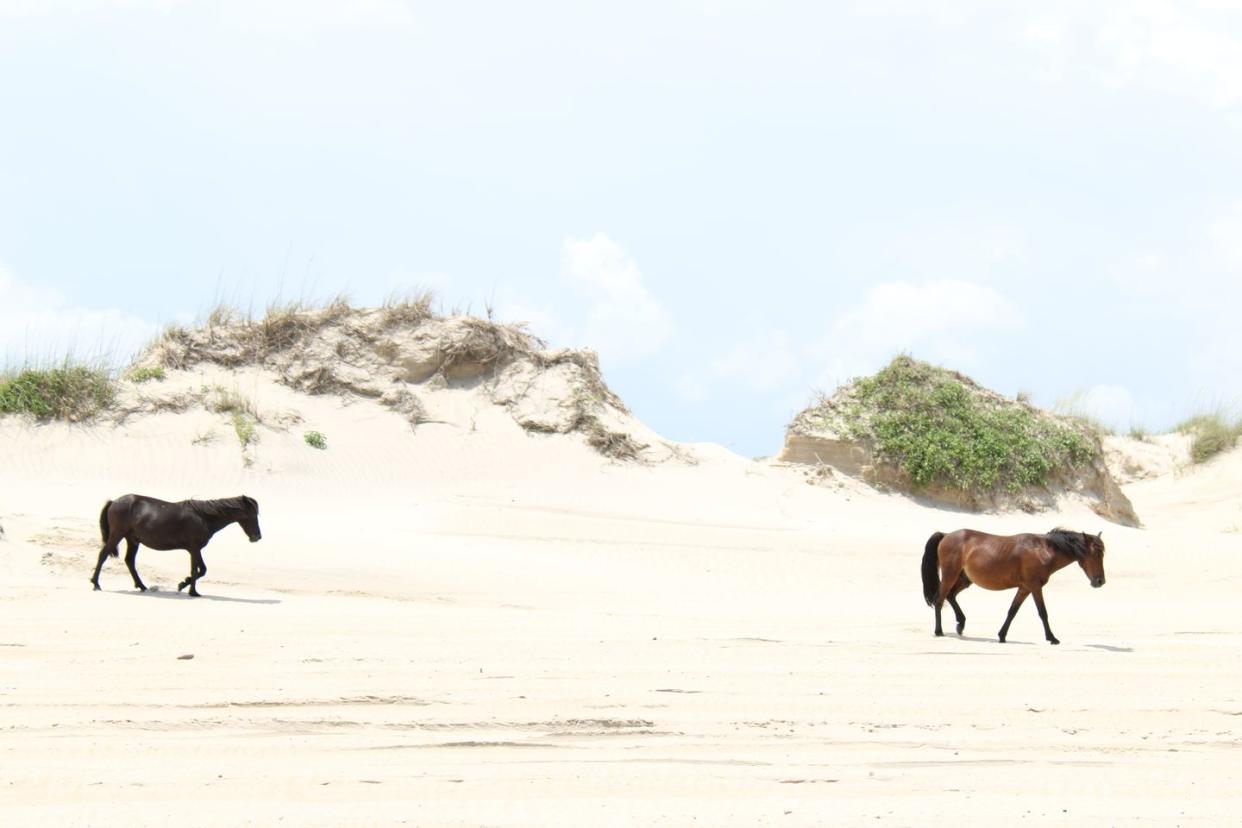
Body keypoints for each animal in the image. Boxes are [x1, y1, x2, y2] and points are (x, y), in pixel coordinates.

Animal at [90, 496, 260, 598]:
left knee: (129, 561)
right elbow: (197, 570)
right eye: (251, 515)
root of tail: (114, 502)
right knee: (103, 555)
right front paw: (191, 591)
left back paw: (142, 586)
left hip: (132, 540)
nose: (257, 537)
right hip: (117, 534)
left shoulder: (195, 549)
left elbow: (201, 570)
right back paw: (96, 584)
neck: (203, 517)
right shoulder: (194, 548)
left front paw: (183, 584)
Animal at [924, 531, 1107, 645]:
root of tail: (946, 535)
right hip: (950, 575)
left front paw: (1002, 636)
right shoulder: (1035, 587)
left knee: (950, 596)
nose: (1100, 581)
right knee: (939, 600)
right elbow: (1043, 613)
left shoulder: (1024, 588)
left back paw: (960, 624)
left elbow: (1012, 611)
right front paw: (1052, 638)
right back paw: (939, 631)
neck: (1042, 550)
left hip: (964, 579)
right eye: (1096, 553)